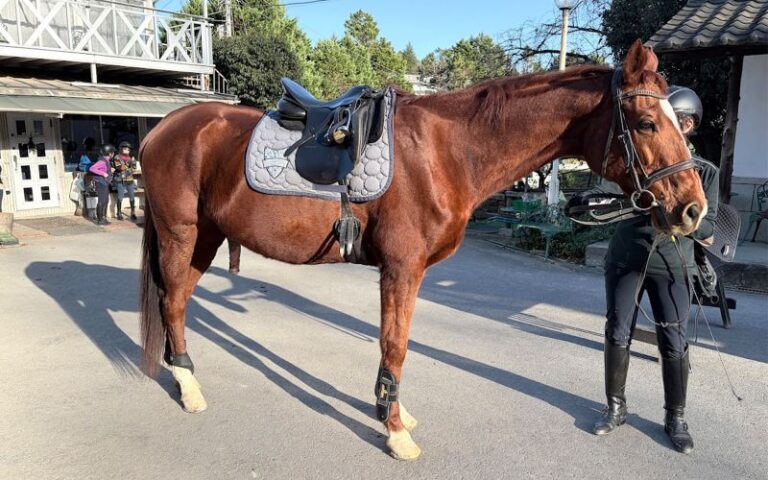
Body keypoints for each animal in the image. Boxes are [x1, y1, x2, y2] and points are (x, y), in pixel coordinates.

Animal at [139, 41, 706, 460]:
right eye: (647, 123)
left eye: (680, 124)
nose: (692, 210)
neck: (446, 151)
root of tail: (162, 128)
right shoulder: (401, 269)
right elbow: (395, 345)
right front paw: (395, 432)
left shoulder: (409, 273)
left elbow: (399, 344)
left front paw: (393, 412)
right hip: (182, 233)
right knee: (172, 302)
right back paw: (189, 388)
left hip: (206, 238)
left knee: (178, 302)